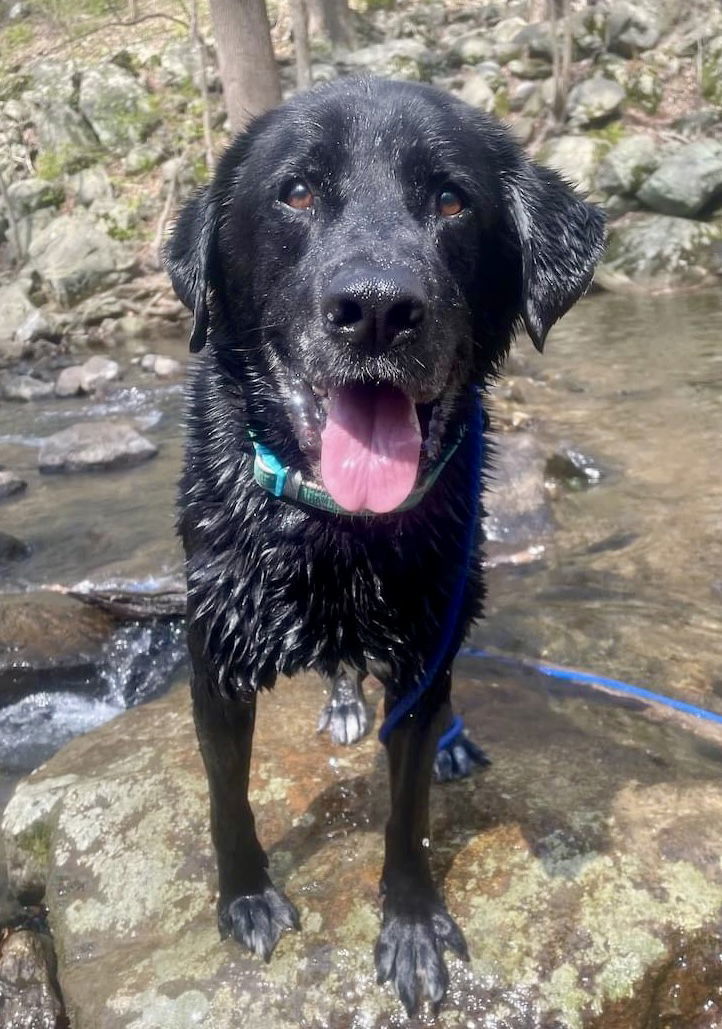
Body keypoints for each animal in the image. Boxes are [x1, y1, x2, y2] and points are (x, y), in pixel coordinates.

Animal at [165, 76, 604, 1016]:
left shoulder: (422, 651)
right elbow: (226, 796)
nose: (376, 310)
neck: (337, 529)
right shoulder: (214, 657)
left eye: (452, 200)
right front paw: (245, 894)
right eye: (296, 192)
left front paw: (410, 924)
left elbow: (408, 814)